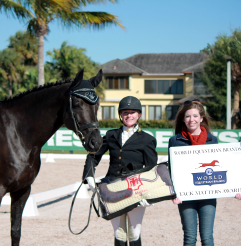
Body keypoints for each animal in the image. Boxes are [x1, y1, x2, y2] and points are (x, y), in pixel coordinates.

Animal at [0, 68, 102, 245]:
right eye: (77, 104)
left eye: (97, 105)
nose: (96, 142)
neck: (16, 133)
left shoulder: (22, 190)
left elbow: (15, 231)